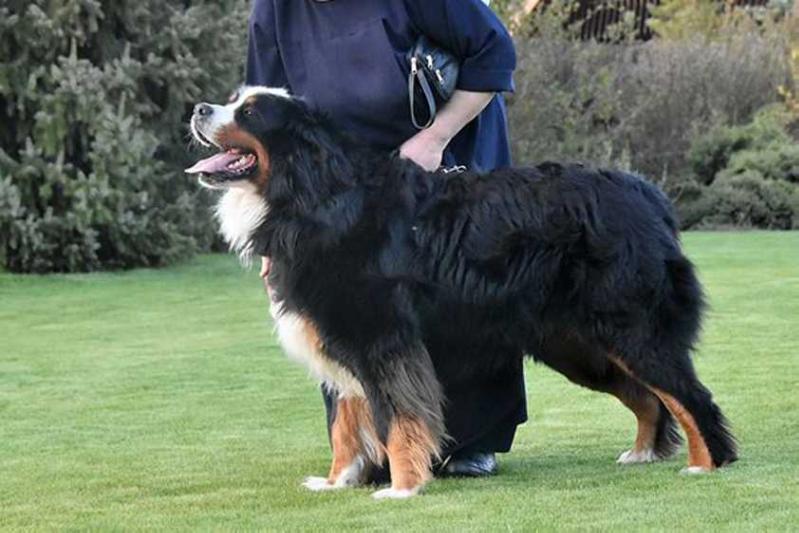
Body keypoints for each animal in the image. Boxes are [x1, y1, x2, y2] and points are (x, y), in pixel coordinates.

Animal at [186, 85, 736, 496]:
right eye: (233, 100)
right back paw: (643, 453)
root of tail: (645, 192)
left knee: (690, 396)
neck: (317, 195)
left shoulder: (383, 340)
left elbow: (398, 418)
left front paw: (402, 488)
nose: (198, 109)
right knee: (648, 398)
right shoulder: (345, 341)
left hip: (631, 329)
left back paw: (707, 463)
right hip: (579, 346)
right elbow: (346, 424)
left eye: (250, 112)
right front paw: (337, 481)